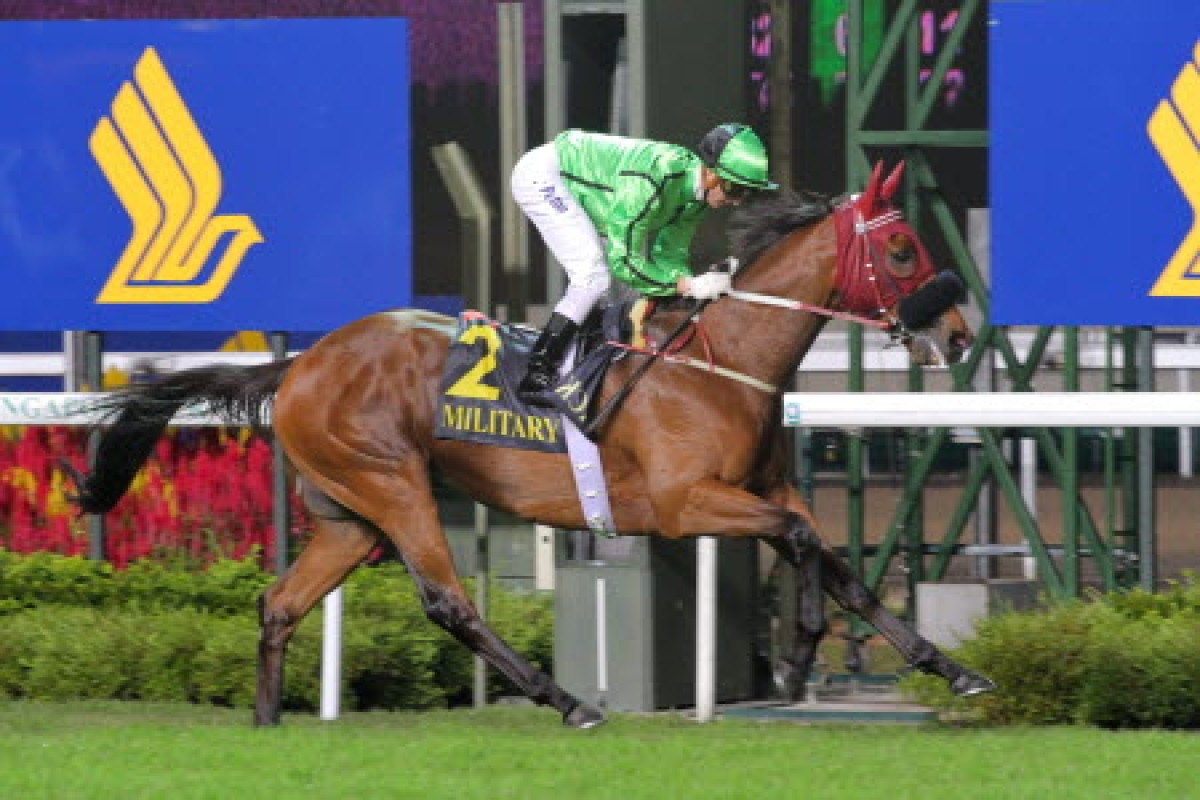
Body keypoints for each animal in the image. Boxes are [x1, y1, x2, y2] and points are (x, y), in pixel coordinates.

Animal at [70, 164, 998, 734]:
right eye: (903, 247)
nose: (957, 335)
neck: (720, 362)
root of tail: (300, 363)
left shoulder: (766, 489)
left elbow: (840, 565)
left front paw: (952, 671)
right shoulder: (685, 503)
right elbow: (807, 546)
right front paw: (801, 654)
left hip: (349, 518)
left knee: (280, 605)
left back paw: (266, 724)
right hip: (395, 487)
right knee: (450, 604)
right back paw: (569, 700)